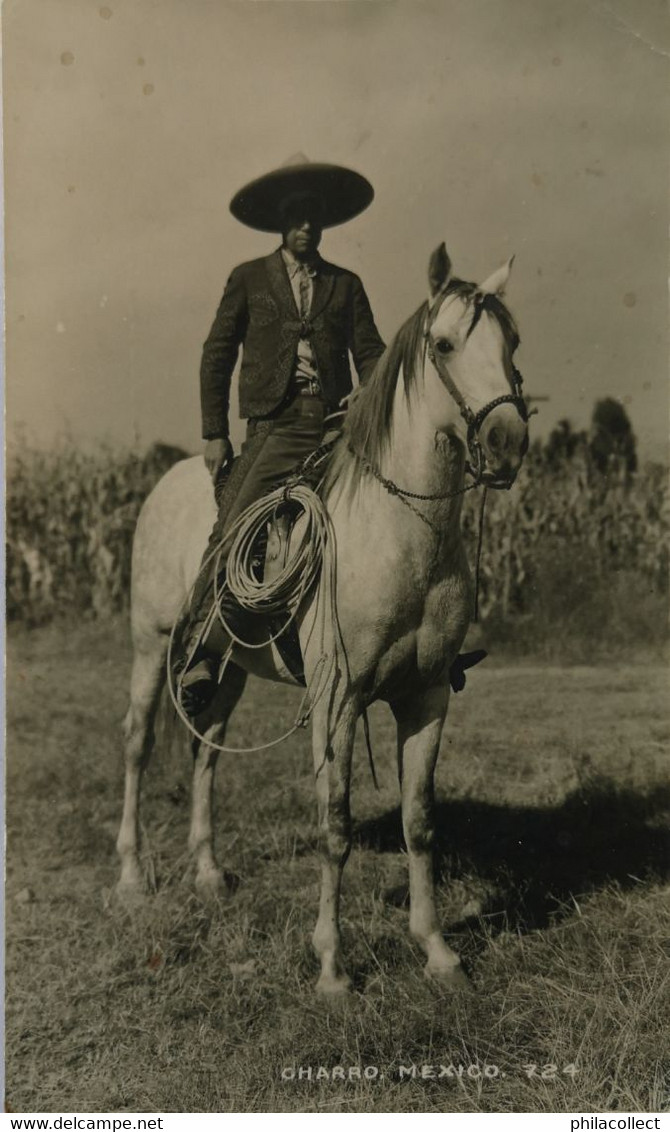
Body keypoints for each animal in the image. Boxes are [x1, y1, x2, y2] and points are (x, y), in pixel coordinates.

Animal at [118, 243, 529, 996]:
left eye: (510, 342)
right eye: (446, 344)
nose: (507, 439)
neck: (400, 530)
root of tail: (166, 481)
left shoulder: (427, 695)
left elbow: (420, 821)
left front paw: (437, 950)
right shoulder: (337, 700)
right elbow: (334, 827)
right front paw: (333, 967)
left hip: (224, 668)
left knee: (205, 750)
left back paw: (208, 871)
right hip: (149, 646)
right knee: (137, 743)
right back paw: (132, 875)